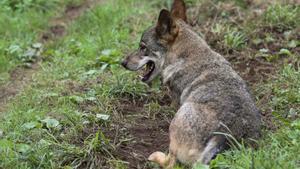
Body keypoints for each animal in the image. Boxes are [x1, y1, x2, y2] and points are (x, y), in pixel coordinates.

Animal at [120, 0, 262, 168]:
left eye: (142, 47)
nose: (122, 63)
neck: (186, 56)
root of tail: (224, 135)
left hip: (178, 120)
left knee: (170, 162)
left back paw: (155, 156)